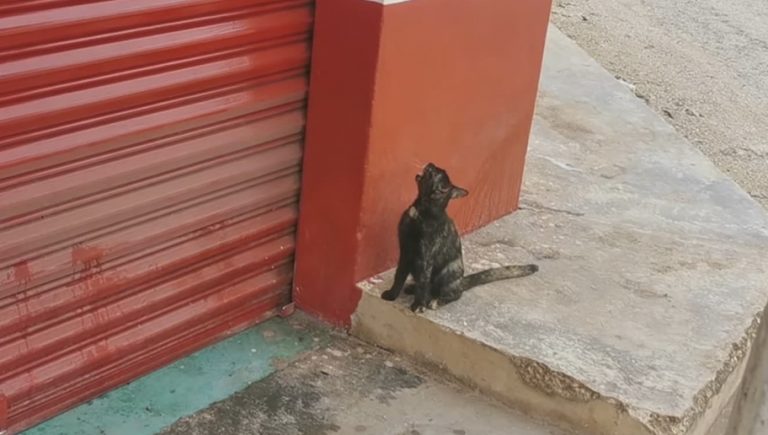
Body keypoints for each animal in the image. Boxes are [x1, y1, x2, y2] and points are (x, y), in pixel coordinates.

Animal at [380, 162, 536, 312]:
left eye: (436, 177)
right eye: (436, 170)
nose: (431, 166)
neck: (421, 211)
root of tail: (461, 281)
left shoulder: (425, 257)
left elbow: (423, 281)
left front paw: (418, 304)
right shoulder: (405, 252)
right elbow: (399, 276)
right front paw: (392, 294)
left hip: (449, 271)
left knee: (452, 293)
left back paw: (435, 301)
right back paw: (413, 288)